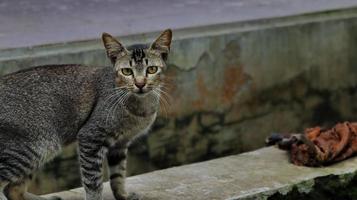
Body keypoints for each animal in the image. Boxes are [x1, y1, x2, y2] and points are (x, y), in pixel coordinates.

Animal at [0, 28, 172, 200]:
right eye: (127, 71)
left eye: (151, 69)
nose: (140, 83)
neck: (140, 107)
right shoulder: (90, 138)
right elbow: (93, 182)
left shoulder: (120, 145)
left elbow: (118, 176)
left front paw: (123, 195)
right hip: (33, 148)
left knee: (13, 189)